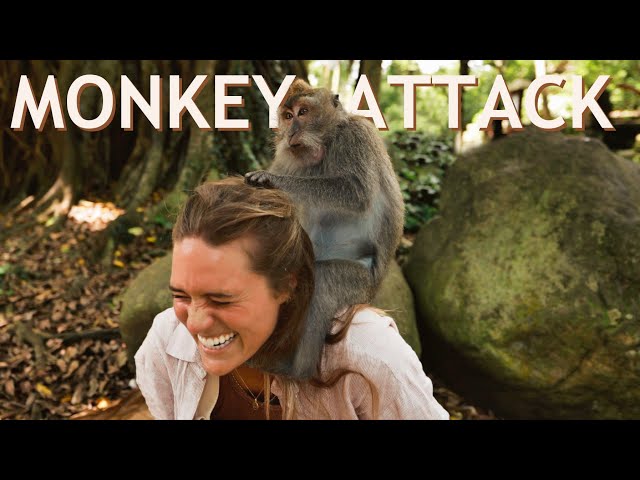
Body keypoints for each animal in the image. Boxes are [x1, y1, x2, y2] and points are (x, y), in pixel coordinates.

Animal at [245, 78, 404, 378]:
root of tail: (374, 292)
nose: (292, 132)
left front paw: (271, 179)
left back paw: (296, 371)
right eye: (287, 116)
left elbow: (356, 192)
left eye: (304, 112)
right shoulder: (286, 156)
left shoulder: (356, 137)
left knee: (323, 282)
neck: (328, 143)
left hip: (359, 284)